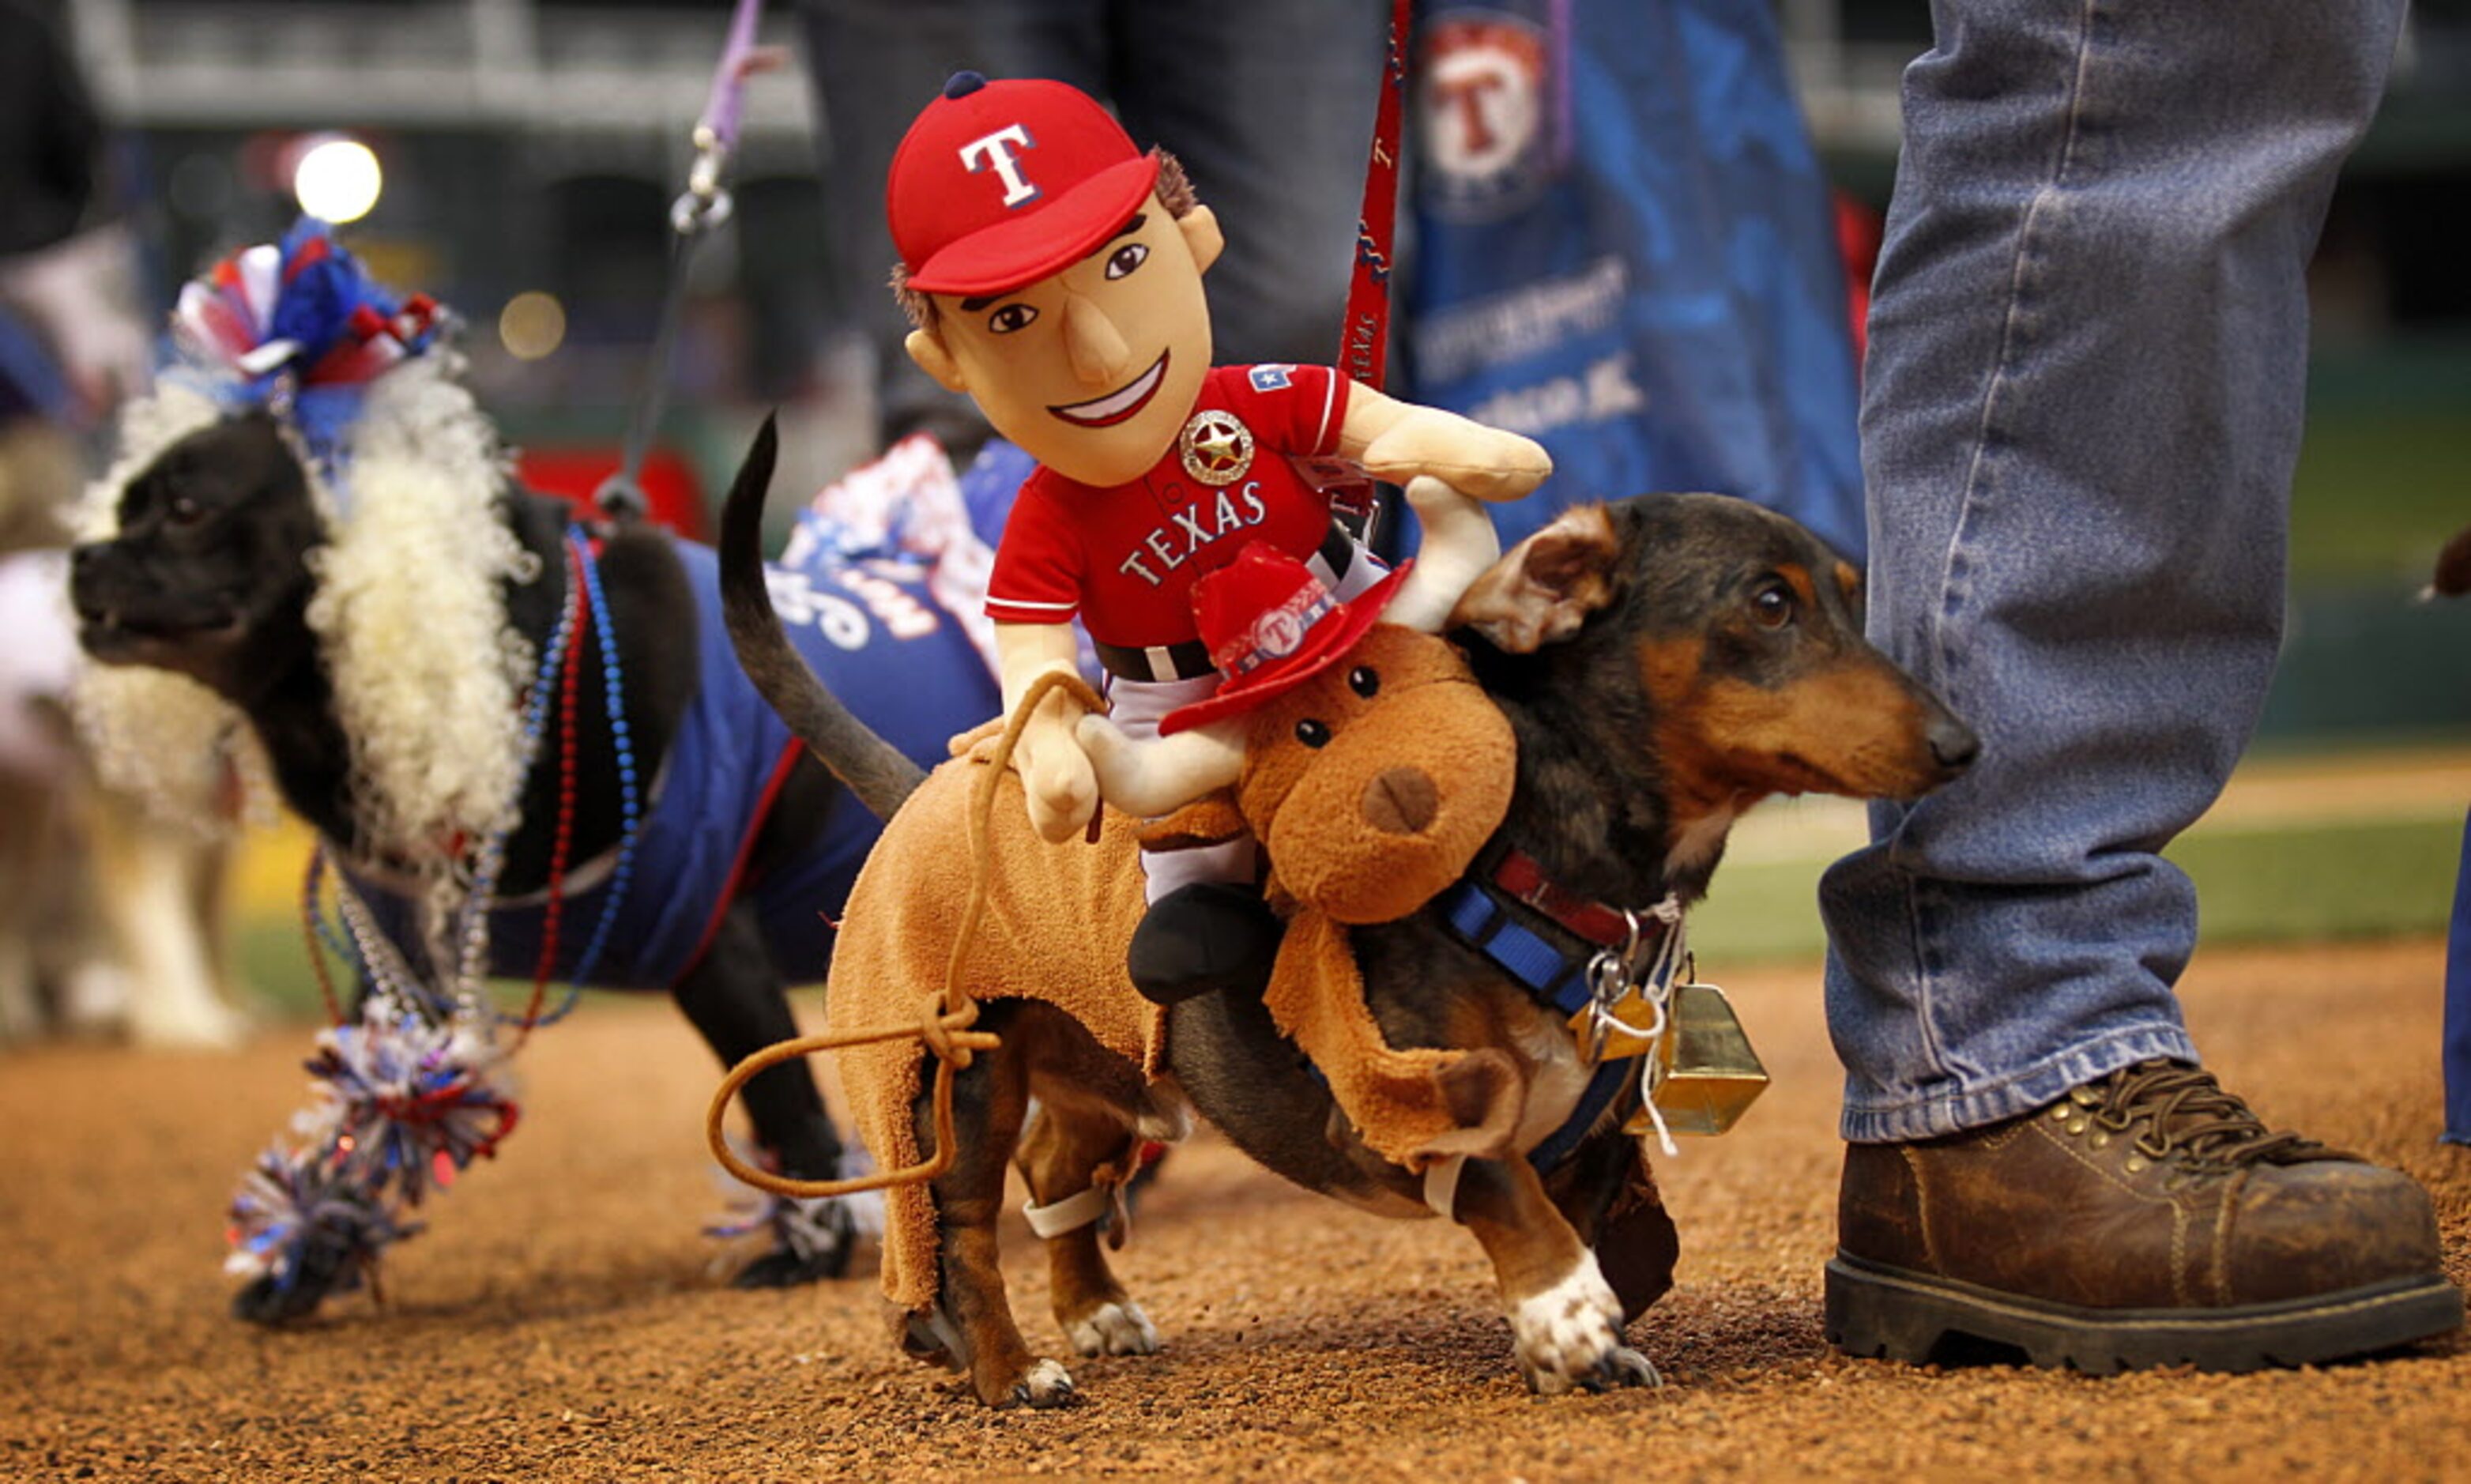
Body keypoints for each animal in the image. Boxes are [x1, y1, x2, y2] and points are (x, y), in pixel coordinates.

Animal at [70, 407, 993, 1323]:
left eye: (186, 509)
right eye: (122, 506)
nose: (81, 557)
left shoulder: (714, 952)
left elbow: (786, 1109)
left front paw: (807, 1252)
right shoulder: (401, 985)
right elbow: (357, 1128)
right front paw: (305, 1260)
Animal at [716, 422, 1967, 1402]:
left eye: (1848, 597)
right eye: (1768, 603)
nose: (1963, 744)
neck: (1525, 858)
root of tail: (933, 788)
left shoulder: (1591, 1140)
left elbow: (1568, 1199)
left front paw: (1579, 1342)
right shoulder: (1386, 1098)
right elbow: (1502, 1179)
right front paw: (1563, 1310)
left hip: (1102, 1057)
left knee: (1059, 1165)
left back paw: (1094, 1308)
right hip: (958, 1079)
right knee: (967, 1231)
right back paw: (1007, 1368)